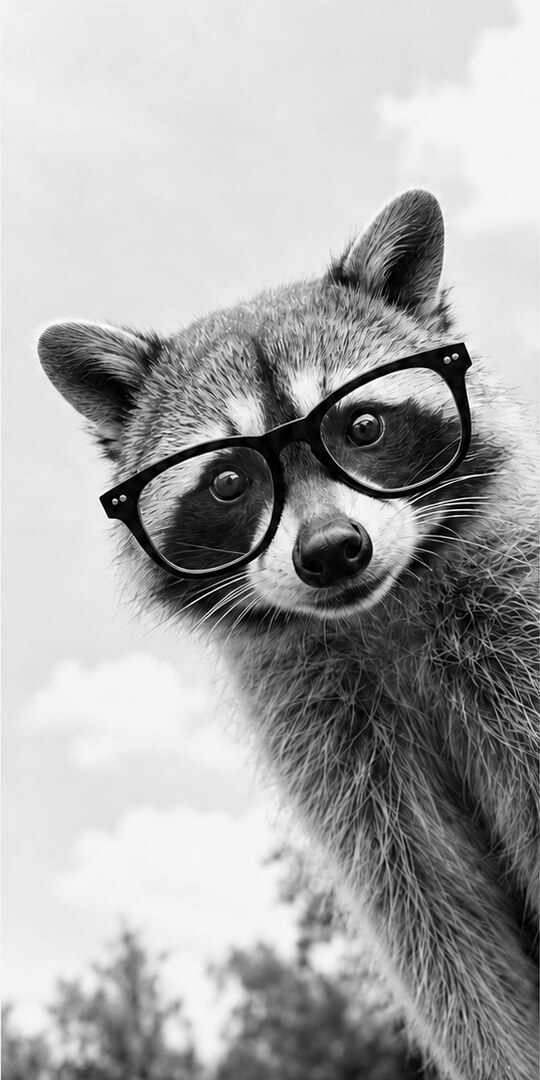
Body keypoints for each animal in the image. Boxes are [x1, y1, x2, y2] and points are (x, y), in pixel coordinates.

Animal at [39, 191, 539, 1080]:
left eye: (364, 426)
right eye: (229, 481)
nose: (333, 550)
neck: (376, 613)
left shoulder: (514, 634)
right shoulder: (333, 750)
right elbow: (435, 926)